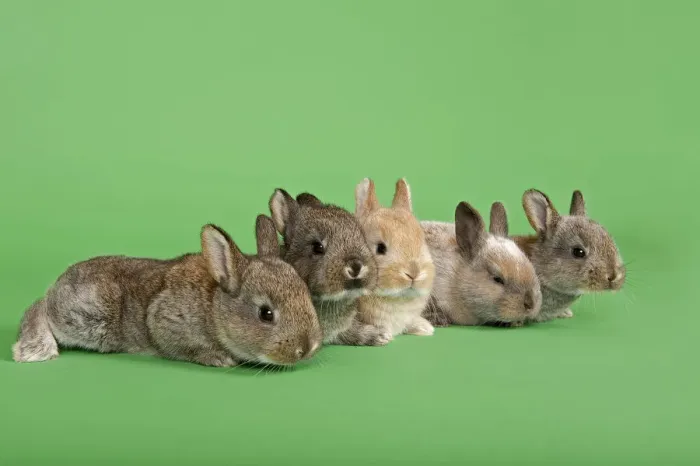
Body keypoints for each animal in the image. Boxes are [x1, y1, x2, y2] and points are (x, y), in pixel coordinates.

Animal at [12, 216, 323, 367]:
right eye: (266, 314)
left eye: (307, 298)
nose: (308, 348)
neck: (213, 307)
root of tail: (59, 283)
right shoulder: (167, 322)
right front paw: (219, 359)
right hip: (87, 318)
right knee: (39, 308)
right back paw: (35, 349)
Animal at [337, 178, 435, 344]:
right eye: (380, 248)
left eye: (422, 242)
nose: (414, 273)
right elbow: (349, 332)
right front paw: (380, 336)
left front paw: (425, 328)